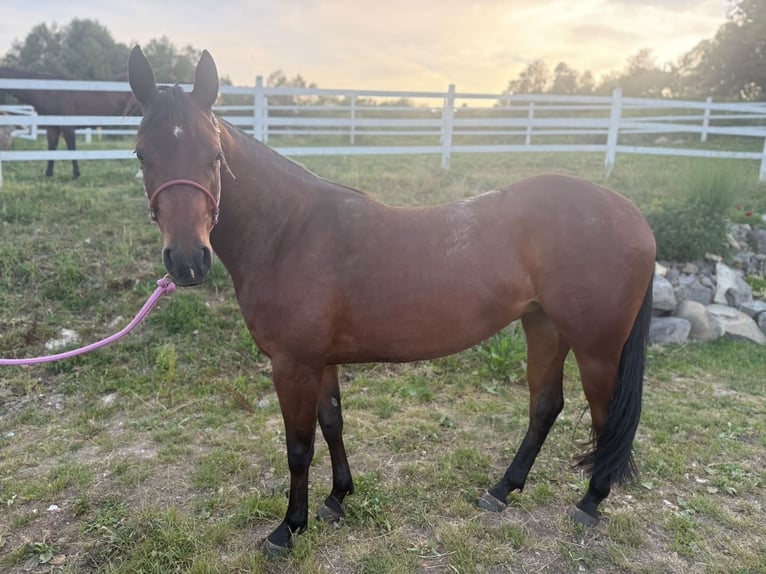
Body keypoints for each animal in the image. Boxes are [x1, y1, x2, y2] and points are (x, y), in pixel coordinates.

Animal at [0, 67, 138, 178]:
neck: (47, 92)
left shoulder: (67, 127)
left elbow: (71, 149)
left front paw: (76, 174)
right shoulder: (52, 128)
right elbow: (52, 148)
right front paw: (49, 174)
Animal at [127, 46, 656, 556]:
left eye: (214, 154)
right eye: (141, 155)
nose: (187, 260)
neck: (288, 233)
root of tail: (633, 215)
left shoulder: (292, 365)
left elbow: (299, 447)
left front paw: (288, 528)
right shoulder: (320, 362)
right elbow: (332, 423)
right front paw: (337, 498)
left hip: (596, 348)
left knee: (607, 419)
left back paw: (590, 502)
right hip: (543, 325)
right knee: (545, 405)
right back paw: (503, 490)